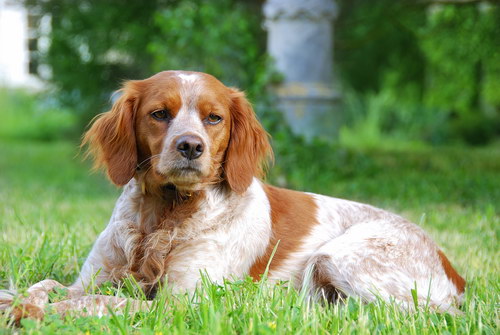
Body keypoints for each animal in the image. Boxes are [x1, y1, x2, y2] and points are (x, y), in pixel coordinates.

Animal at [0, 70, 464, 322]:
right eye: (159, 114)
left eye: (214, 118)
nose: (190, 146)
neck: (163, 216)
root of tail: (452, 269)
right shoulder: (91, 279)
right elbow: (47, 285)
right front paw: (17, 300)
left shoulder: (180, 304)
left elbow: (93, 304)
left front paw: (32, 314)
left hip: (338, 256)